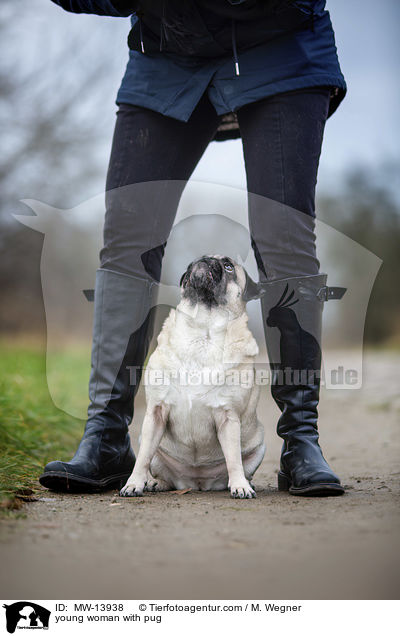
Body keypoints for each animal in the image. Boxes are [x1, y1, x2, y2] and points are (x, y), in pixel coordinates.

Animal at [122, 256, 266, 500]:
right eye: (193, 263)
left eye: (228, 266)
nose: (205, 260)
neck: (202, 330)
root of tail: (197, 482)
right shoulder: (156, 412)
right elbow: (142, 459)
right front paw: (134, 483)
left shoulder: (228, 417)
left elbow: (234, 460)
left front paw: (240, 486)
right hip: (151, 443)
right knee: (159, 468)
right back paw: (156, 483)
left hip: (259, 449)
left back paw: (246, 482)